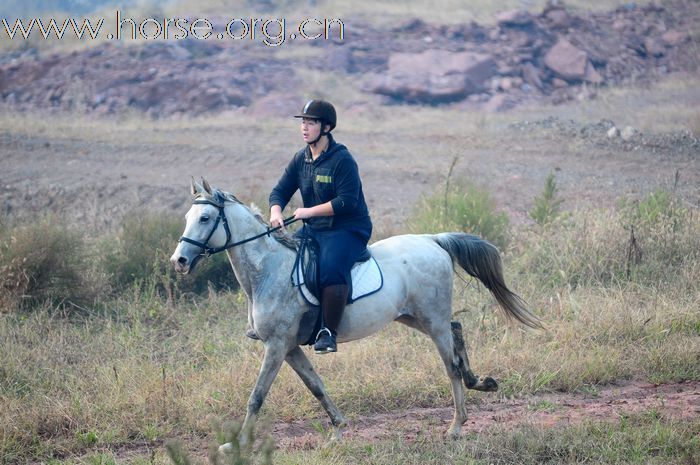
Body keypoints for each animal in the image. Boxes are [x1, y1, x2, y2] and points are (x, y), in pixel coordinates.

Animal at [170, 179, 540, 450]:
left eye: (205, 219)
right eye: (187, 218)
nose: (179, 261)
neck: (267, 270)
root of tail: (433, 240)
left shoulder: (276, 346)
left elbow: (257, 396)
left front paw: (237, 445)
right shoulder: (289, 347)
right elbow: (316, 386)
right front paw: (338, 428)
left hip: (430, 319)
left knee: (450, 364)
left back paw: (456, 426)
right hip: (415, 316)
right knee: (457, 328)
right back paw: (480, 382)